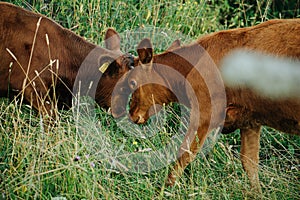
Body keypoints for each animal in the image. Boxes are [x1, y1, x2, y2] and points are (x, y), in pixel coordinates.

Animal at [110, 19, 300, 192]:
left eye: (132, 82)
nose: (132, 115)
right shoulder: (250, 120)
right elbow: (250, 163)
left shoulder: (204, 114)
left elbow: (183, 155)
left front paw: (163, 191)